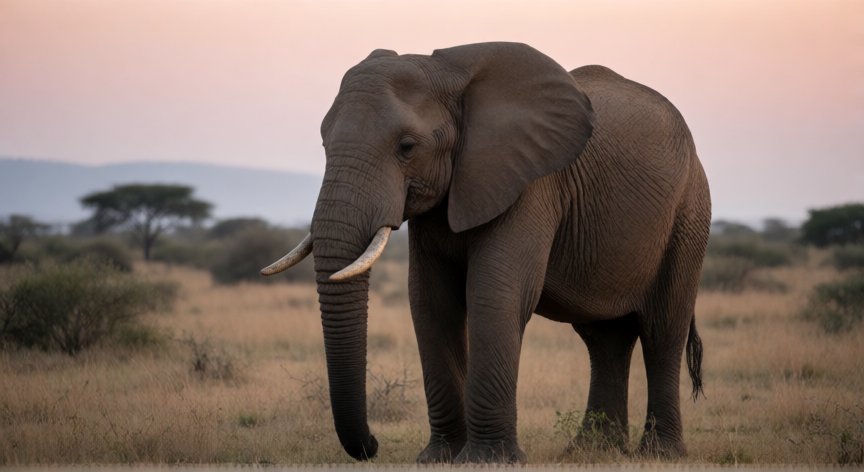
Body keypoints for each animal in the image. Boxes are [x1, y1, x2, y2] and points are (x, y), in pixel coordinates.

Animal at [262, 42, 710, 463]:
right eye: (324, 143)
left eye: (406, 147)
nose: (372, 446)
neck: (449, 73)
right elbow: (430, 302)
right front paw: (438, 458)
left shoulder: (530, 183)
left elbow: (495, 294)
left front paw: (487, 459)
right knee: (604, 339)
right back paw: (590, 452)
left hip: (689, 213)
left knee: (662, 331)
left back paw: (659, 454)